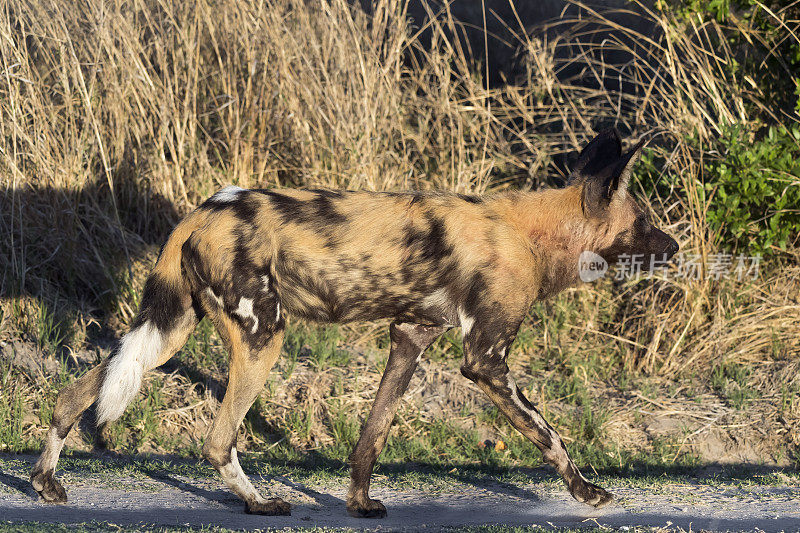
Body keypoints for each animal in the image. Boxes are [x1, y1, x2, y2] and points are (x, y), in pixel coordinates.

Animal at [31, 128, 680, 516]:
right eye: (645, 220)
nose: (675, 246)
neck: (535, 234)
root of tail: (205, 208)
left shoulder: (410, 338)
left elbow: (372, 436)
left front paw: (360, 503)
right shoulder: (487, 362)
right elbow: (550, 437)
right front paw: (586, 491)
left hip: (169, 330)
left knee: (79, 392)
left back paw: (46, 481)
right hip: (263, 337)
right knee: (217, 441)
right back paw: (260, 503)